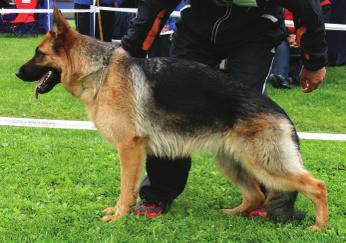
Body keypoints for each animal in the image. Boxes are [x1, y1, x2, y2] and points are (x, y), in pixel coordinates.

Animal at [16, 9, 328, 230]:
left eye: (38, 53)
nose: (17, 74)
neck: (99, 70)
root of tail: (282, 114)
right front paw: (119, 213)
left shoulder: (130, 148)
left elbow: (126, 188)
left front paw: (118, 217)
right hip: (232, 161)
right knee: (256, 195)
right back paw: (233, 214)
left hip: (264, 164)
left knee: (317, 186)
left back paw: (319, 227)